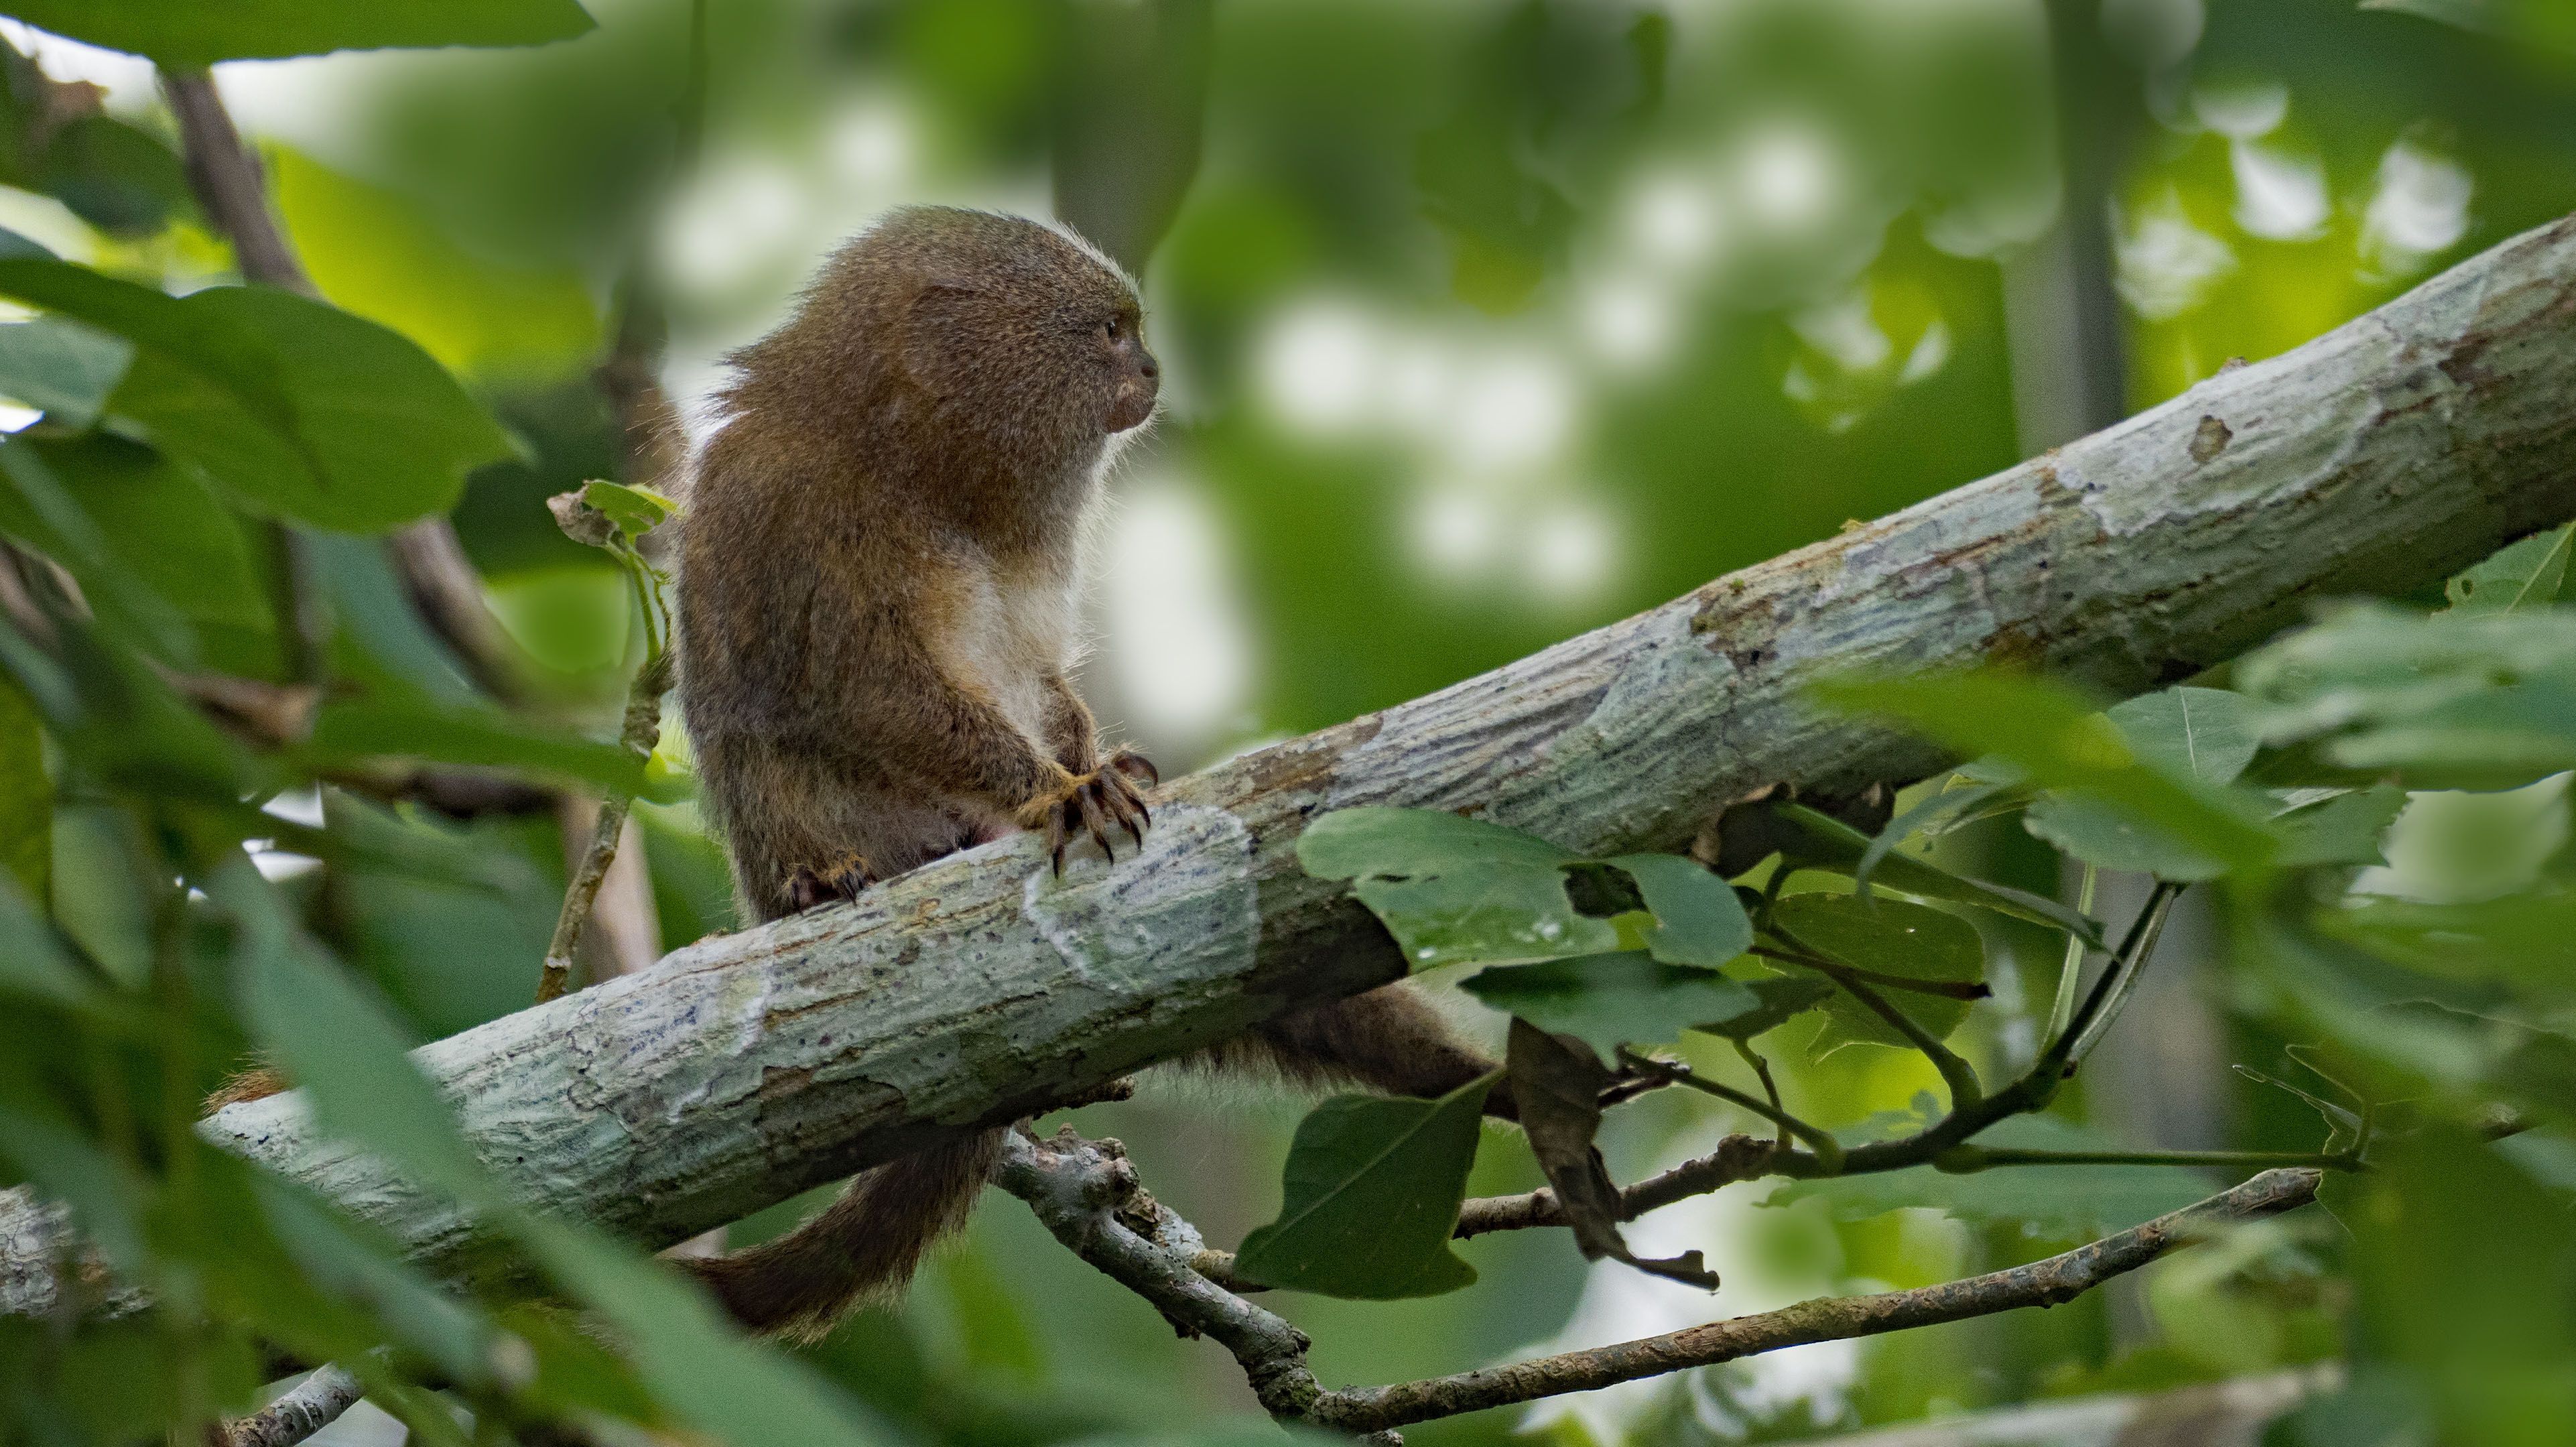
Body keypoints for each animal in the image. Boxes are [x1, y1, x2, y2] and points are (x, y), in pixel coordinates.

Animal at [669, 207, 1509, 1340]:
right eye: (1110, 333)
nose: (1151, 368)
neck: (916, 467)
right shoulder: (801, 510)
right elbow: (865, 687)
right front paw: (1055, 789)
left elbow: (1042, 681)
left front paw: (1090, 760)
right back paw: (823, 879)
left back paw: (1473, 1081)